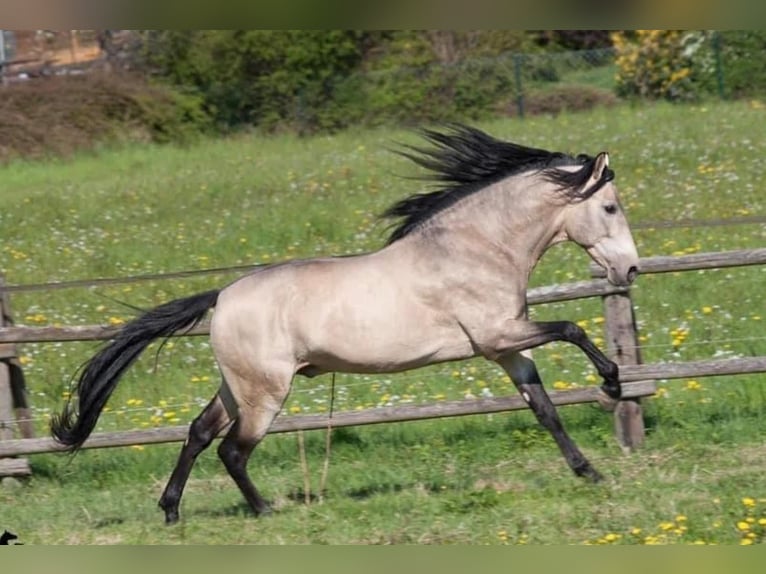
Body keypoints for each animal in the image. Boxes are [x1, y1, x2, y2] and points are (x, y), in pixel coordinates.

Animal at [52, 124, 640, 524]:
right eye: (610, 208)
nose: (629, 269)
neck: (474, 247)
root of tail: (222, 296)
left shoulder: (507, 349)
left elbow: (545, 409)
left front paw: (588, 471)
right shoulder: (497, 336)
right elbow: (573, 328)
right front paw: (612, 384)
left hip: (238, 386)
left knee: (198, 432)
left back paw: (172, 511)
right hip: (266, 393)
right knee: (232, 450)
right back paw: (265, 511)